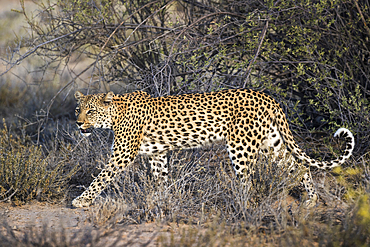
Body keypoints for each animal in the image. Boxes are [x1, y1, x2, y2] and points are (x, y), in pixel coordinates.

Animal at [73, 89, 356, 208]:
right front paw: (160, 200)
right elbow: (161, 179)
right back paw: (311, 199)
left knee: (247, 181)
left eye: (91, 111)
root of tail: (268, 97)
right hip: (272, 143)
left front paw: (82, 200)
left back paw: (239, 205)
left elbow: (101, 178)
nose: (78, 123)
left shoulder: (122, 154)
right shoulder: (157, 153)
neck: (114, 115)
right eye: (78, 109)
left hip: (241, 146)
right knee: (298, 166)